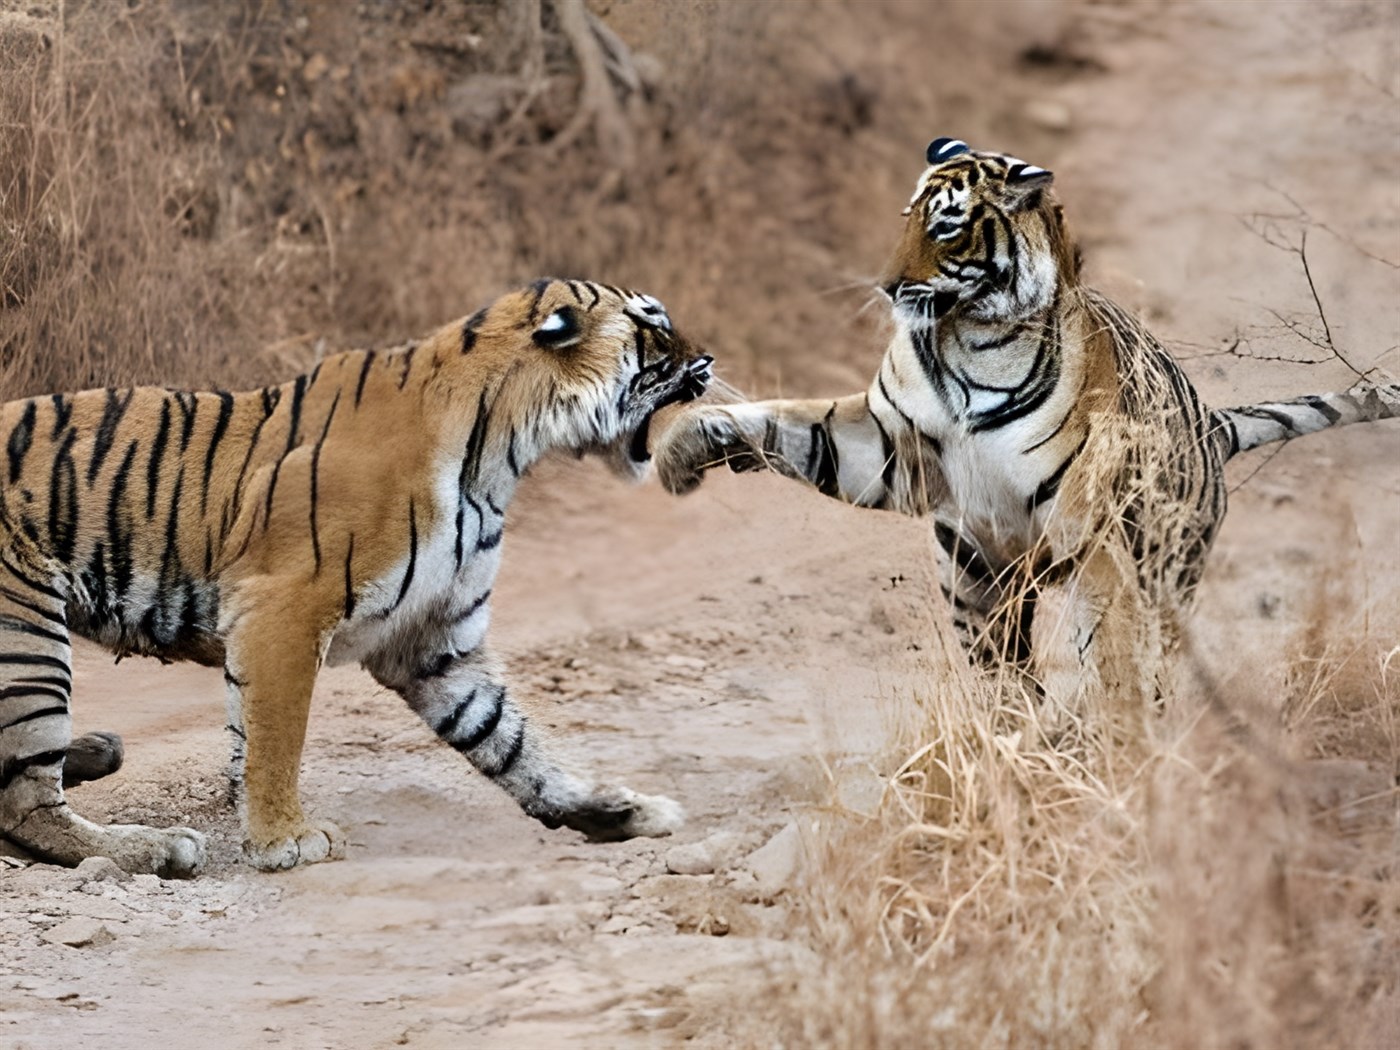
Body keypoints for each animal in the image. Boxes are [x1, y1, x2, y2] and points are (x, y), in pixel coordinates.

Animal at [0, 278, 712, 876]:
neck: (501, 453)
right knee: (23, 807)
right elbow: (276, 735)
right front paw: (284, 840)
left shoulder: (435, 642)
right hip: (28, 637)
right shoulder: (283, 609)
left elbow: (512, 742)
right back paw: (154, 848)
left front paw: (615, 809)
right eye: (654, 330)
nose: (707, 363)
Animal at [653, 137, 1400, 694]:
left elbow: (1111, 657)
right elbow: (787, 424)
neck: (964, 340)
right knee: (1006, 672)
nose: (888, 287)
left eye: (945, 225)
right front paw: (685, 447)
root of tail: (1212, 429)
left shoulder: (1091, 530)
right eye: (905, 218)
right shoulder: (886, 445)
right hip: (975, 573)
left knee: (1141, 660)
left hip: (1163, 569)